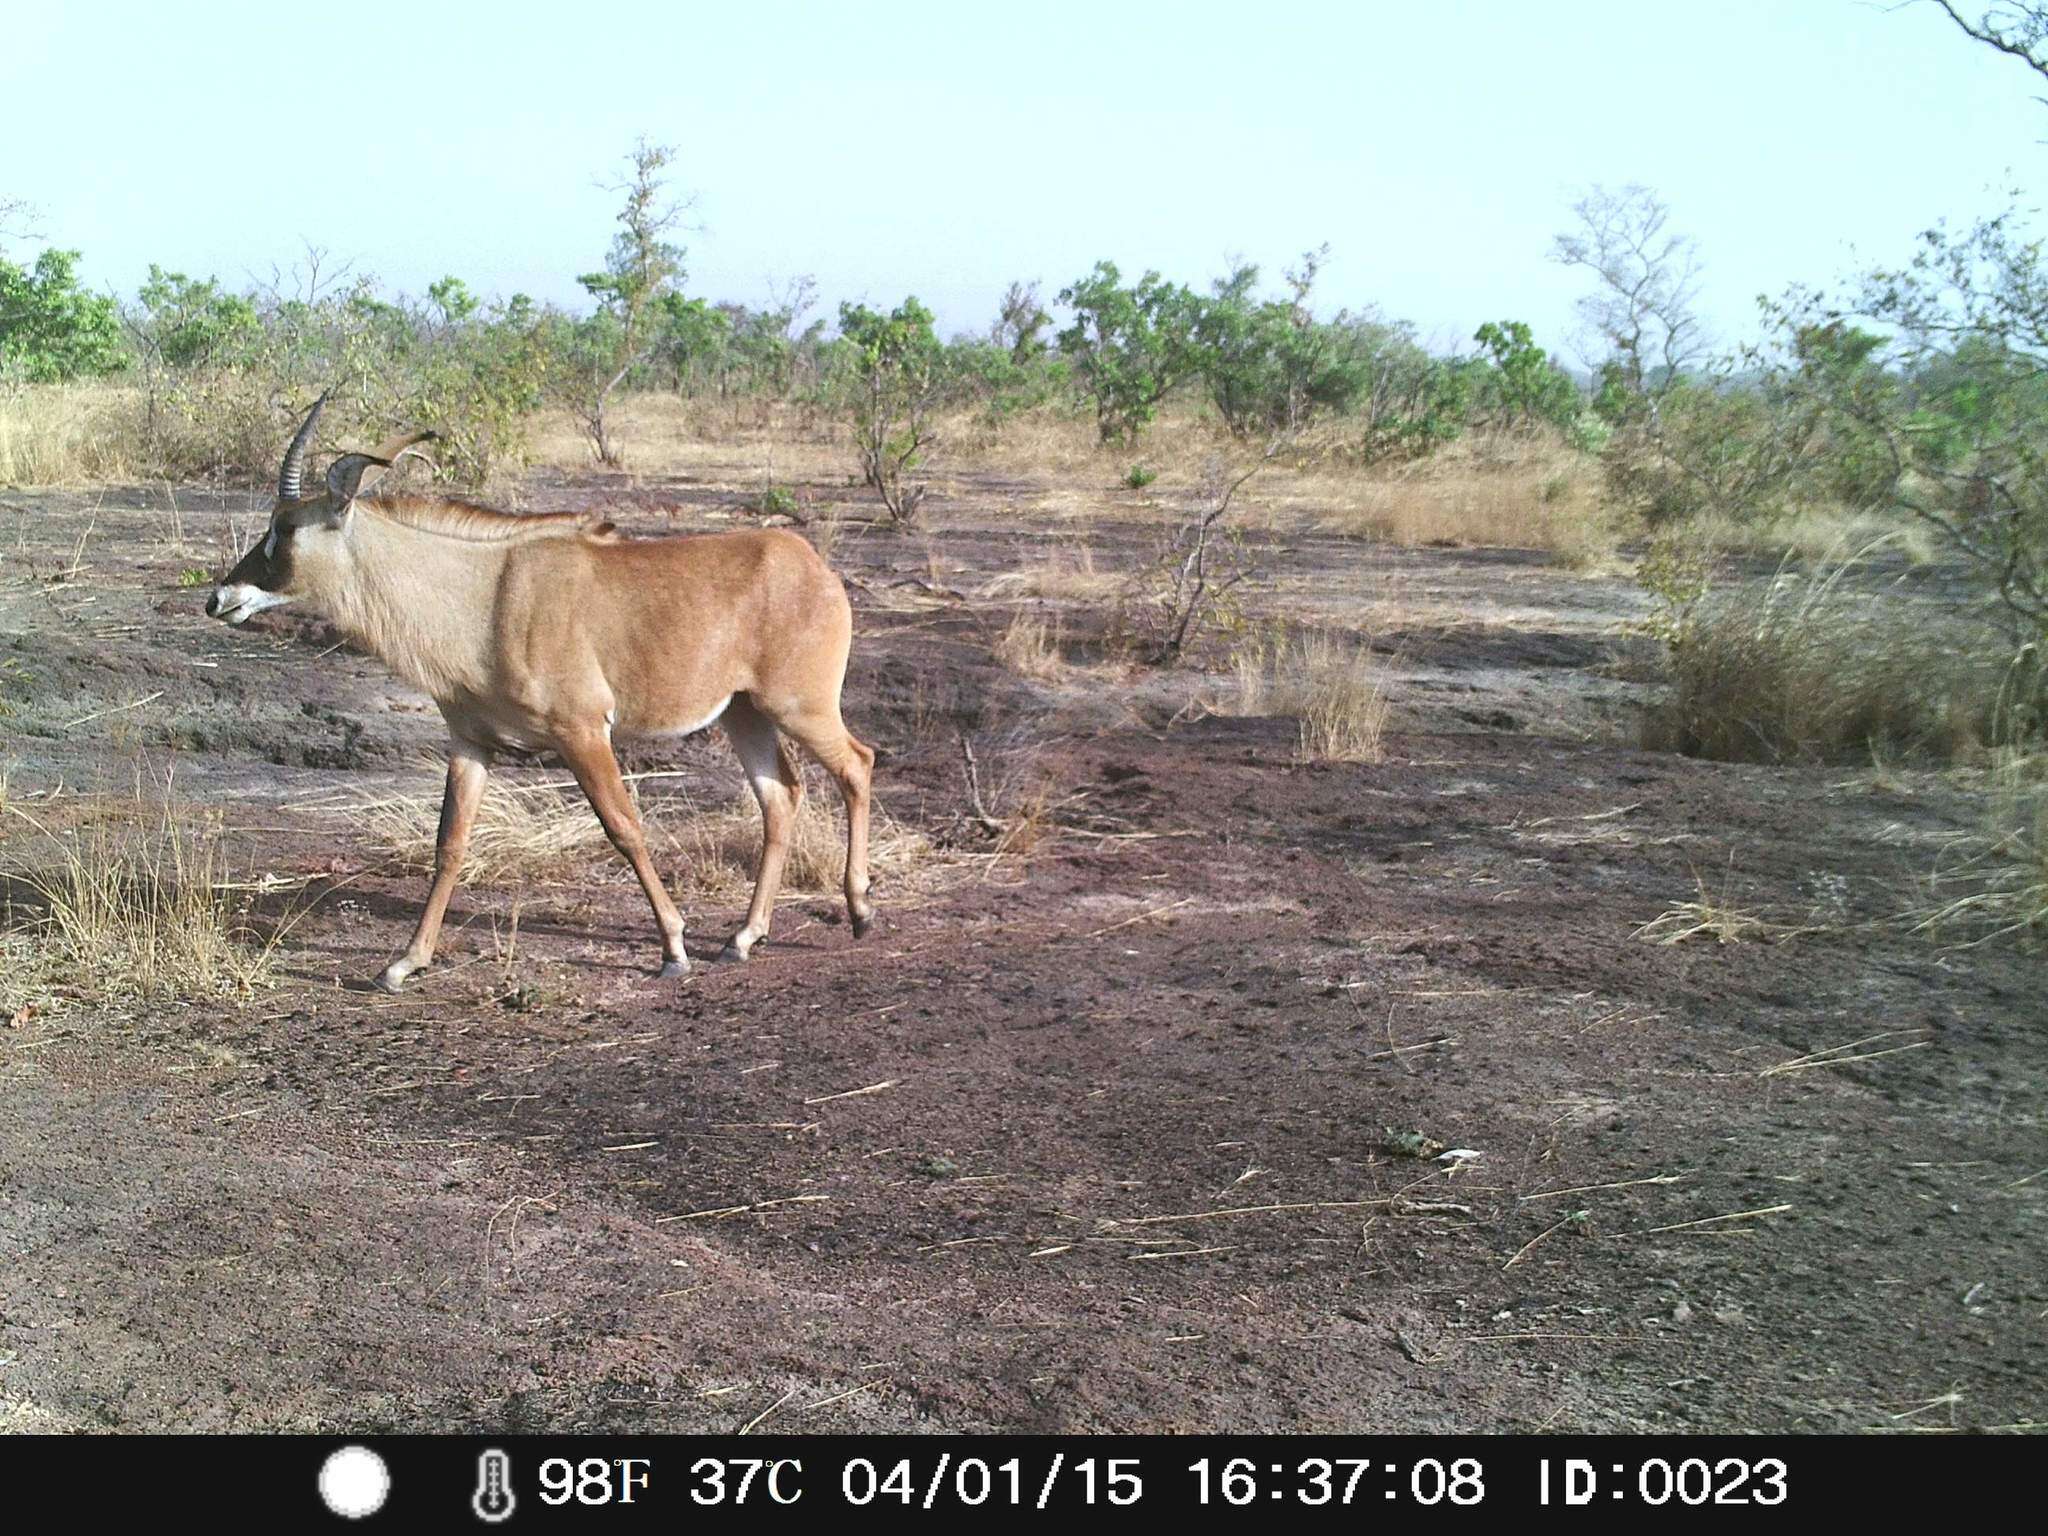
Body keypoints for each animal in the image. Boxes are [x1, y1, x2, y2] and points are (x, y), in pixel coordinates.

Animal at [203, 397, 876, 991]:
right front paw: (405, 964)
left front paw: (673, 948)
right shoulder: (471, 742)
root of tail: (813, 567)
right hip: (744, 713)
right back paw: (743, 938)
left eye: (285, 530)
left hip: (800, 706)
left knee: (857, 765)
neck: (484, 595)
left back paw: (860, 912)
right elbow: (450, 843)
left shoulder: (582, 730)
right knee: (781, 796)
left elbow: (624, 827)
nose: (219, 599)